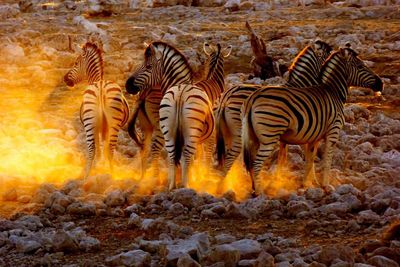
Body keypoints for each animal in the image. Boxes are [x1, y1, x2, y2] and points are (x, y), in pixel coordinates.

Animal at [64, 42, 130, 180]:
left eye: (76, 63)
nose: (65, 79)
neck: (96, 79)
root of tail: (100, 87)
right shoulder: (102, 128)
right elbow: (103, 146)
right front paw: (102, 164)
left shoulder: (98, 128)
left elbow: (100, 146)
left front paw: (99, 164)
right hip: (112, 124)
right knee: (109, 149)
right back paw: (111, 174)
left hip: (91, 123)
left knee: (92, 150)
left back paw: (88, 176)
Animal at [158, 43, 230, 191]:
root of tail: (181, 94)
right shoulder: (211, 134)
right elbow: (206, 155)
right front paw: (204, 175)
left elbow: (197, 156)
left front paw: (195, 175)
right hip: (191, 131)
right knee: (185, 155)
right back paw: (186, 185)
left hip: (169, 129)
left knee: (172, 156)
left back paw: (172, 186)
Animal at [214, 40, 332, 176]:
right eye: (328, 56)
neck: (299, 85)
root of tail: (226, 96)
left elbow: (282, 157)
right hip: (239, 133)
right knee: (229, 159)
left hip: (227, 133)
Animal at [242, 47, 382, 196]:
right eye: (361, 66)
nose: (381, 84)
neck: (333, 92)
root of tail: (252, 98)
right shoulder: (333, 131)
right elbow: (327, 159)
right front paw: (325, 186)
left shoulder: (314, 137)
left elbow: (310, 160)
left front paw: (306, 185)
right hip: (269, 136)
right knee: (256, 163)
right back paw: (259, 191)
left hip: (253, 137)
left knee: (250, 162)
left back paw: (253, 189)